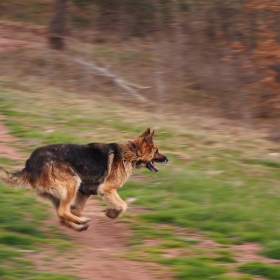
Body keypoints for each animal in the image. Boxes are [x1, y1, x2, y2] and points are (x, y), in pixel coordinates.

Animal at [0, 128, 167, 231]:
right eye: (157, 151)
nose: (168, 159)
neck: (132, 153)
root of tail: (29, 165)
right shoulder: (107, 189)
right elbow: (123, 205)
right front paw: (112, 213)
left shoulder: (84, 192)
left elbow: (77, 209)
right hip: (73, 182)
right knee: (62, 211)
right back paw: (81, 222)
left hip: (62, 192)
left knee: (61, 213)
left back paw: (77, 224)